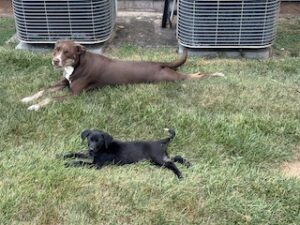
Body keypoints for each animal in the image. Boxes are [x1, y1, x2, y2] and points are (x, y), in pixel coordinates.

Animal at [20, 40, 223, 110]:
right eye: (56, 49)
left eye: (67, 52)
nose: (55, 61)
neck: (76, 65)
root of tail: (159, 63)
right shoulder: (64, 82)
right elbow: (45, 89)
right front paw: (28, 98)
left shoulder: (74, 94)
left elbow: (50, 98)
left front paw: (35, 106)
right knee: (196, 73)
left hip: (170, 78)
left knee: (195, 76)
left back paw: (218, 74)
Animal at [61, 128, 191, 179]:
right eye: (90, 139)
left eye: (98, 141)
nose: (91, 148)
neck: (102, 149)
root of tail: (160, 141)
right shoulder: (89, 156)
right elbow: (76, 154)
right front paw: (62, 156)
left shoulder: (96, 165)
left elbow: (80, 162)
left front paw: (68, 164)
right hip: (158, 159)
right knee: (176, 158)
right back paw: (188, 164)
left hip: (157, 159)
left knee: (172, 164)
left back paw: (180, 175)